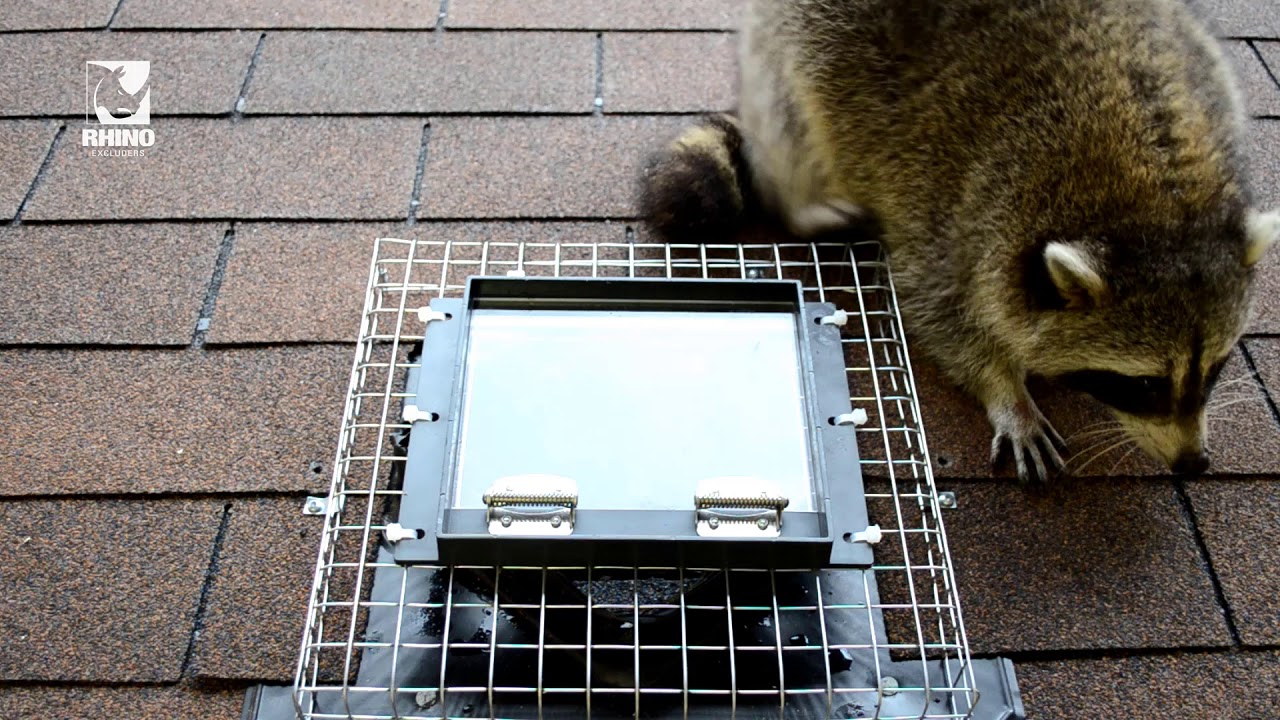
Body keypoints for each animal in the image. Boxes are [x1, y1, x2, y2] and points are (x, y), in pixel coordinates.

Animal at [637, 0, 1279, 482]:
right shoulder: (951, 194)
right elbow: (937, 303)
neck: (1154, 189)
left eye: (1218, 366)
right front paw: (1006, 391)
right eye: (1143, 384)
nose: (1193, 464)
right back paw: (804, 204)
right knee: (793, 109)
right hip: (800, 35)